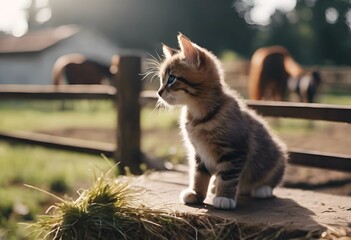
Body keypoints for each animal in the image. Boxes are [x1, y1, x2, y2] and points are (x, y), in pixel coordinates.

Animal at [158, 33, 288, 210]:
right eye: (161, 79)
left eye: (171, 79)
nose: (158, 92)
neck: (200, 116)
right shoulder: (199, 152)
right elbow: (199, 174)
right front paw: (196, 194)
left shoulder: (234, 150)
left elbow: (228, 176)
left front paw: (224, 197)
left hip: (277, 156)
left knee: (271, 176)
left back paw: (263, 189)